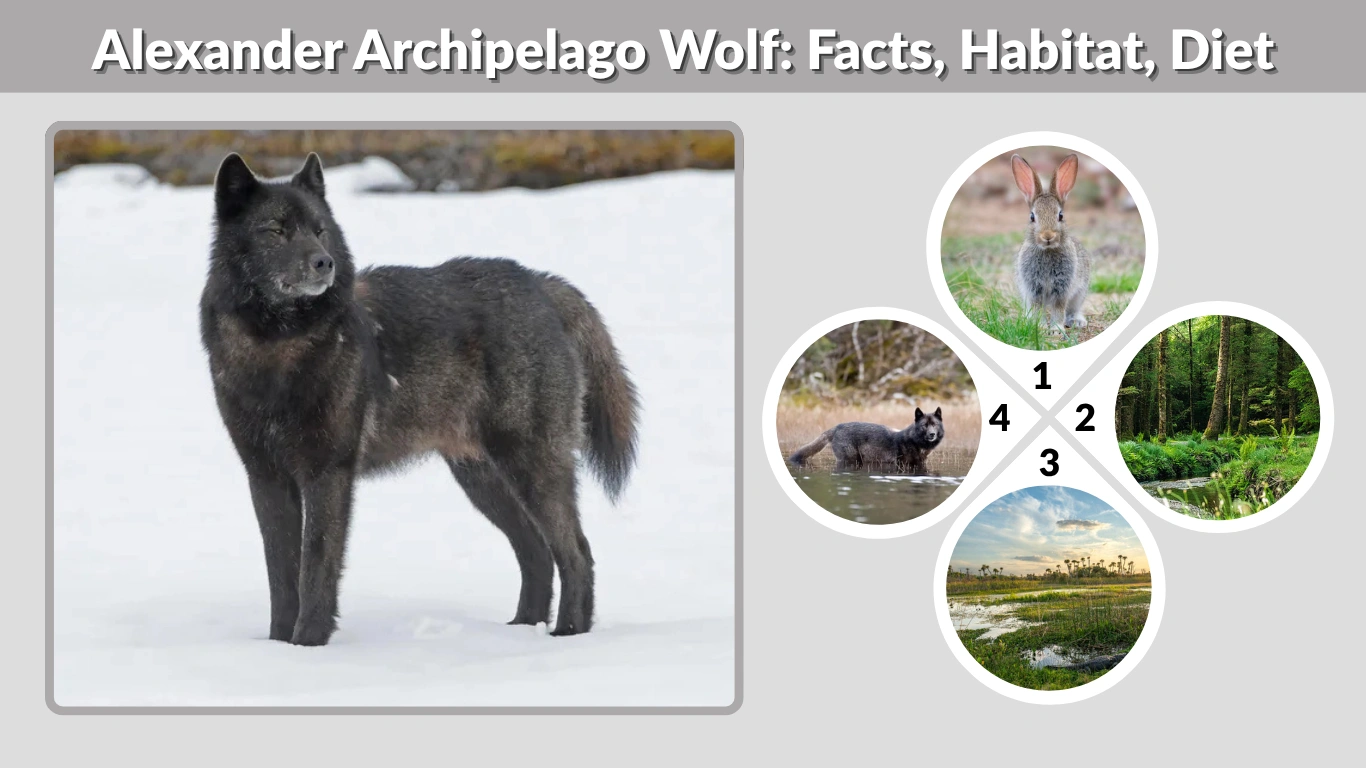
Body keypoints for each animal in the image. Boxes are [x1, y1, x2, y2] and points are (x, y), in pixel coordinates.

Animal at [199, 152, 639, 646]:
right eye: (275, 230)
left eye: (319, 229)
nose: (323, 263)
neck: (278, 348)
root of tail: (542, 284)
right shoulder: (266, 477)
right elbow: (281, 574)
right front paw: (278, 647)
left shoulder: (328, 473)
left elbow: (315, 568)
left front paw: (309, 644)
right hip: (481, 478)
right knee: (536, 552)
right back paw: (521, 631)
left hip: (530, 466)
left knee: (576, 551)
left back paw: (567, 635)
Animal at [787, 407, 945, 473]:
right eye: (924, 426)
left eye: (934, 425)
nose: (932, 434)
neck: (913, 440)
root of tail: (837, 427)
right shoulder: (902, 465)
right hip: (850, 460)